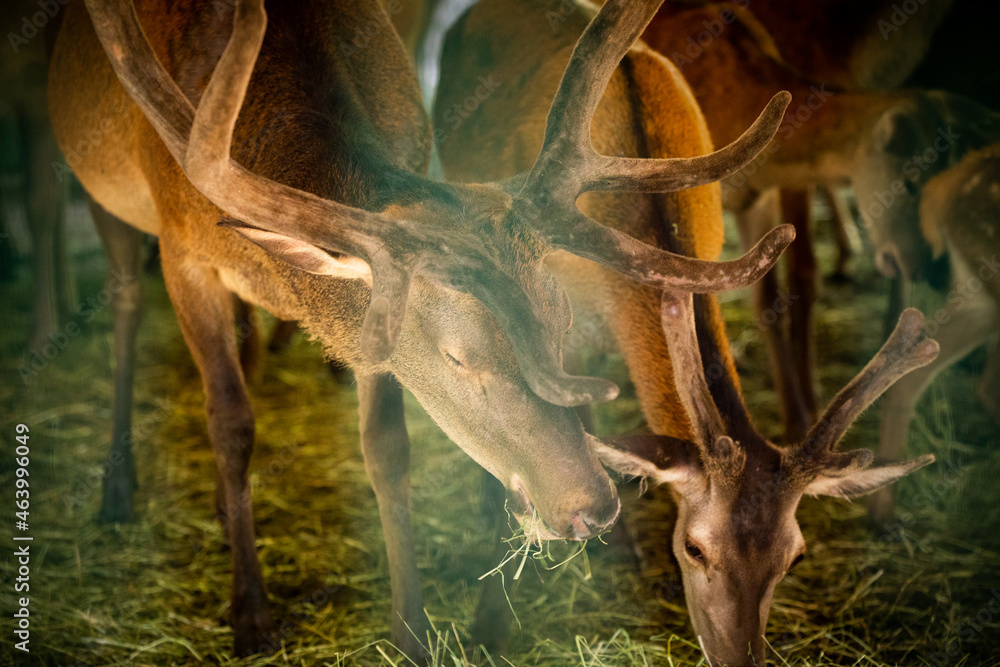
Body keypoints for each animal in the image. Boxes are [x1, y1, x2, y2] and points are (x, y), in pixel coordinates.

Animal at [50, 0, 796, 656]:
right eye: (458, 356)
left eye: (559, 323)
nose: (595, 507)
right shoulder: (183, 255)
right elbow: (230, 423)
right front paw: (251, 617)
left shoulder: (369, 332)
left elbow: (387, 448)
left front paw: (410, 634)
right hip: (106, 197)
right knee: (126, 305)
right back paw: (118, 486)